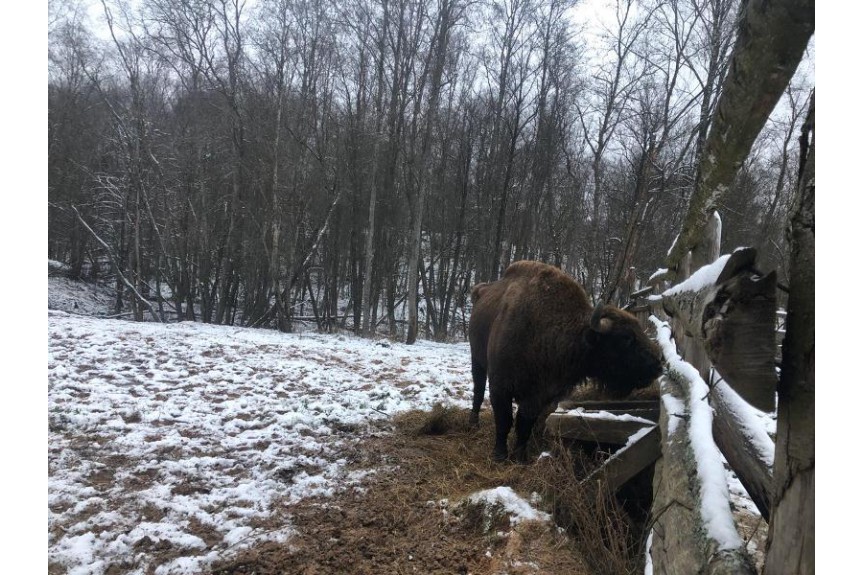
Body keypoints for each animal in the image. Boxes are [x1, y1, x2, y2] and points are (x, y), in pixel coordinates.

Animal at [472, 260, 660, 464]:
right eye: (626, 338)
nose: (658, 364)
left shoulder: (540, 394)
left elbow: (524, 423)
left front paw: (521, 457)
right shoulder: (500, 386)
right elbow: (504, 420)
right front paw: (499, 455)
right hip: (477, 361)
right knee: (478, 391)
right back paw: (472, 424)